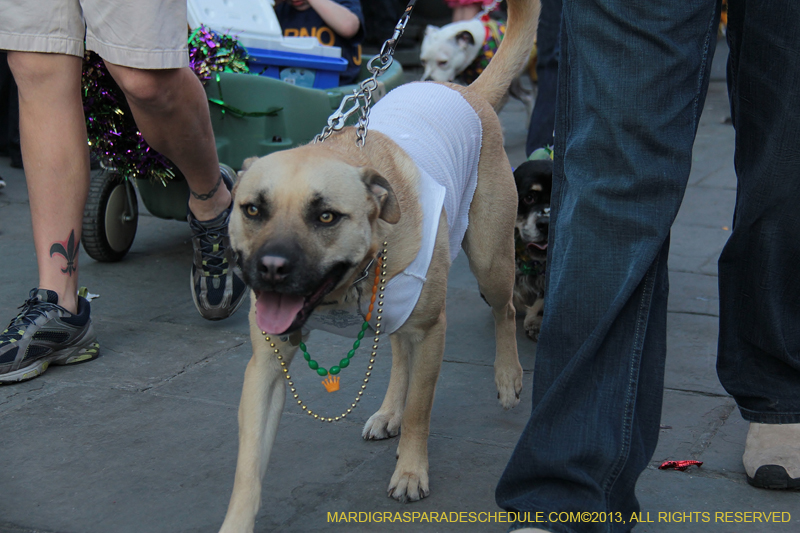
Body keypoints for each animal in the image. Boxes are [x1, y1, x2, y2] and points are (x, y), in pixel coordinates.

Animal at [219, 2, 540, 528]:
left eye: (326, 216)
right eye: (252, 210)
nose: (270, 268)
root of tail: (466, 91)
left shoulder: (432, 331)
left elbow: (420, 412)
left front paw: (411, 472)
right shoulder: (266, 364)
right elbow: (247, 469)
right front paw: (237, 521)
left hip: (491, 260)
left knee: (504, 310)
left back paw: (508, 375)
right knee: (395, 349)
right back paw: (389, 409)